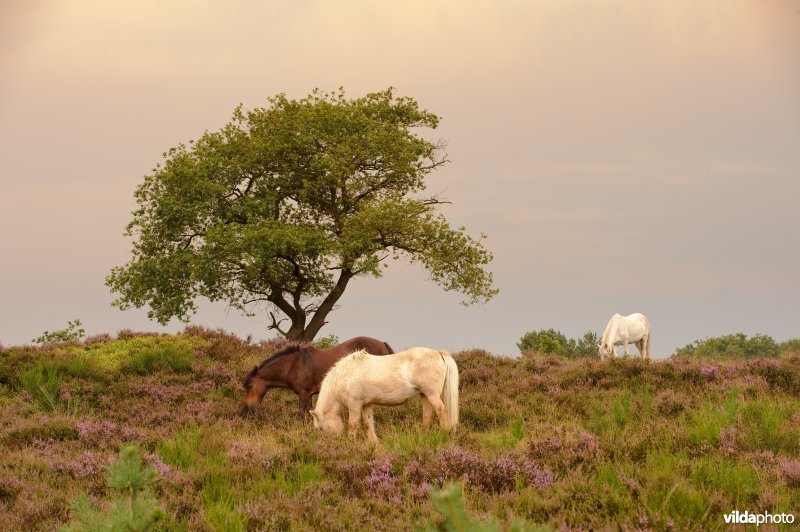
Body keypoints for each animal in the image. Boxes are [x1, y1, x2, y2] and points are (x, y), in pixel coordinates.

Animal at [242, 334, 396, 418]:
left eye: (249, 386)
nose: (247, 409)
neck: (294, 364)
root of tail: (382, 344)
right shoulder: (309, 394)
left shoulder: (303, 393)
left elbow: (301, 414)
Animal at [310, 348, 460, 442]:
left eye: (321, 428)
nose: (333, 445)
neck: (345, 375)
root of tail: (438, 353)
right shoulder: (366, 405)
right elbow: (368, 424)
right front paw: (373, 444)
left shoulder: (355, 405)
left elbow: (353, 425)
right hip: (425, 395)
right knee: (427, 417)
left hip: (432, 395)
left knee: (441, 411)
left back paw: (445, 433)